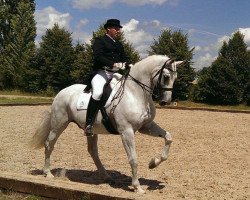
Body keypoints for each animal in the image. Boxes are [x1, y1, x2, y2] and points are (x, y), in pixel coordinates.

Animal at [30, 54, 185, 194]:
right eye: (166, 76)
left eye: (175, 77)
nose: (165, 102)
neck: (136, 93)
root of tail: (62, 92)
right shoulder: (126, 131)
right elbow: (133, 159)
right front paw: (137, 187)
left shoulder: (146, 126)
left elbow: (168, 138)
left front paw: (153, 163)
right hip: (59, 124)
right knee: (49, 144)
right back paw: (47, 173)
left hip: (90, 130)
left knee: (93, 151)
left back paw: (106, 176)